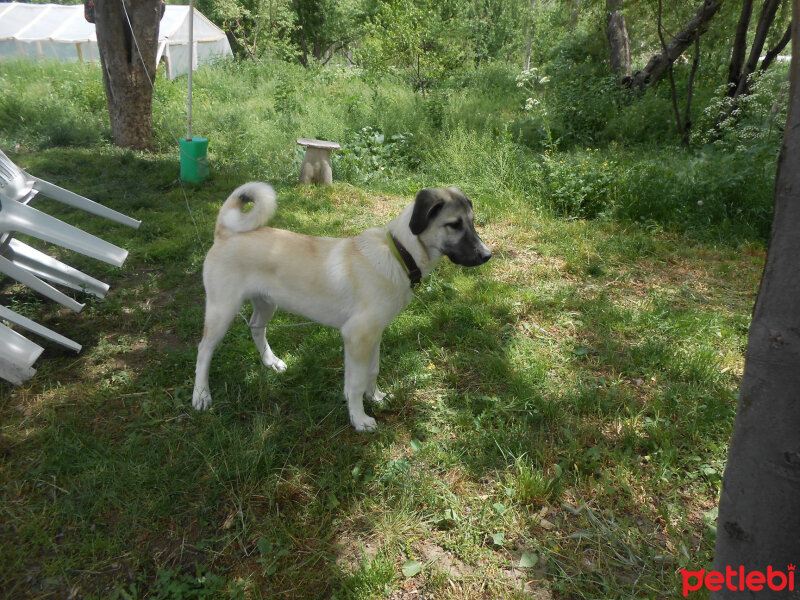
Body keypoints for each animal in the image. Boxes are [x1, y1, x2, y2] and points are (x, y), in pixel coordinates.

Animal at [194, 183, 490, 432]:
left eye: (472, 222)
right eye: (453, 225)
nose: (487, 255)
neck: (399, 255)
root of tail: (224, 232)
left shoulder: (374, 335)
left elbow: (372, 370)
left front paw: (376, 397)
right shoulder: (356, 336)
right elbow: (355, 383)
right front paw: (359, 419)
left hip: (266, 303)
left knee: (256, 327)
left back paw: (271, 361)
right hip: (222, 310)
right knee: (204, 350)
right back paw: (201, 395)